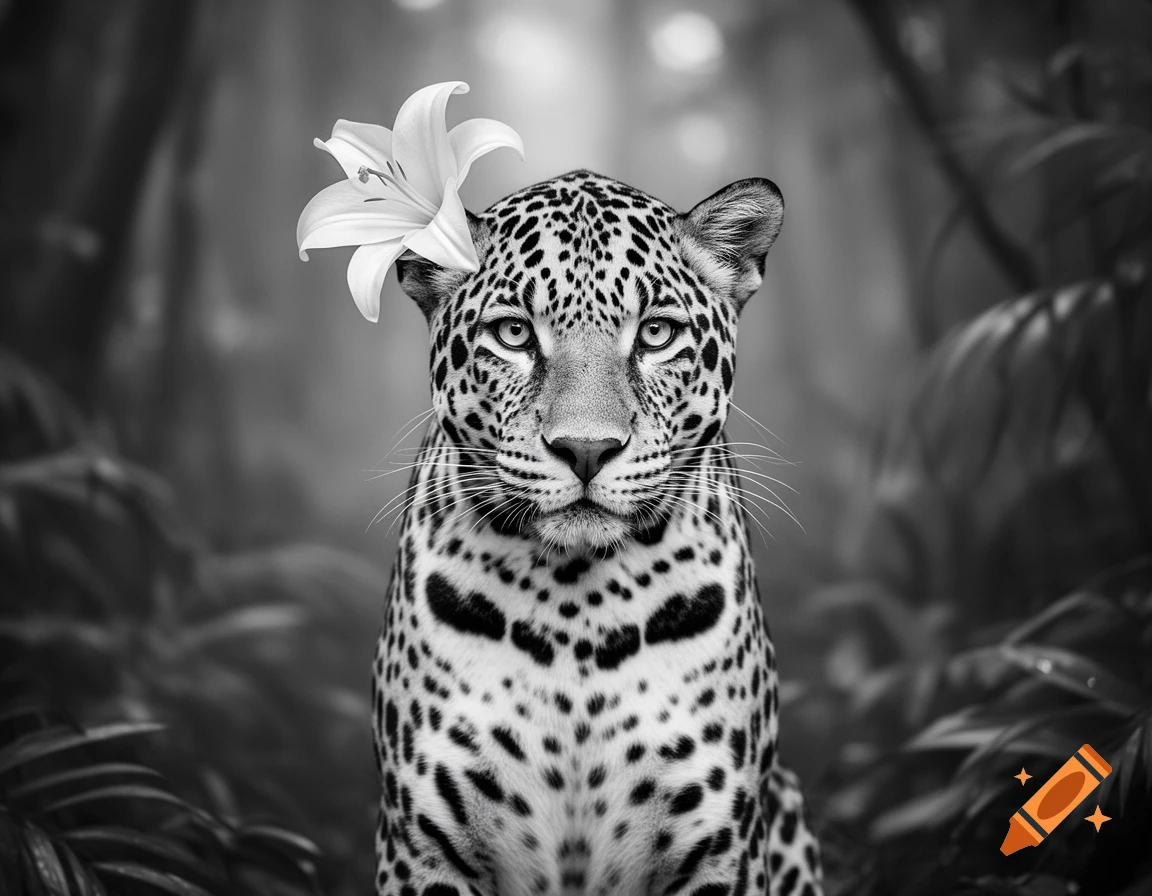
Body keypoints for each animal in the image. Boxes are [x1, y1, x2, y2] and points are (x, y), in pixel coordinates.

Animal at [370, 169, 823, 896]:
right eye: (514, 334)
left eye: (657, 334)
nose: (586, 449)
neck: (575, 608)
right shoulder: (423, 839)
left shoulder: (720, 841)